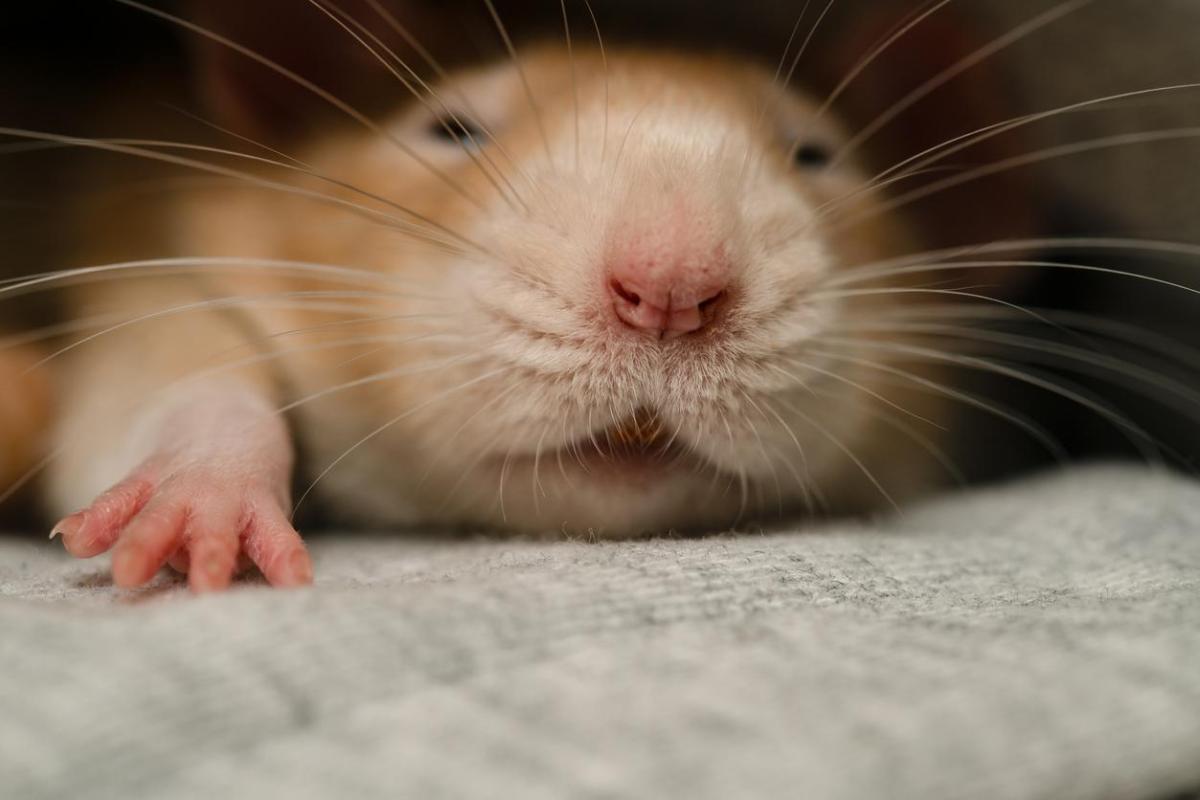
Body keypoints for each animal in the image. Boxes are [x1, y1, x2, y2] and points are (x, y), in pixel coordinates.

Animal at [28, 5, 1043, 592]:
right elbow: (149, 335)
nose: (669, 286)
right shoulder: (146, 216)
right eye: (451, 128)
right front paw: (207, 482)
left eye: (817, 153)